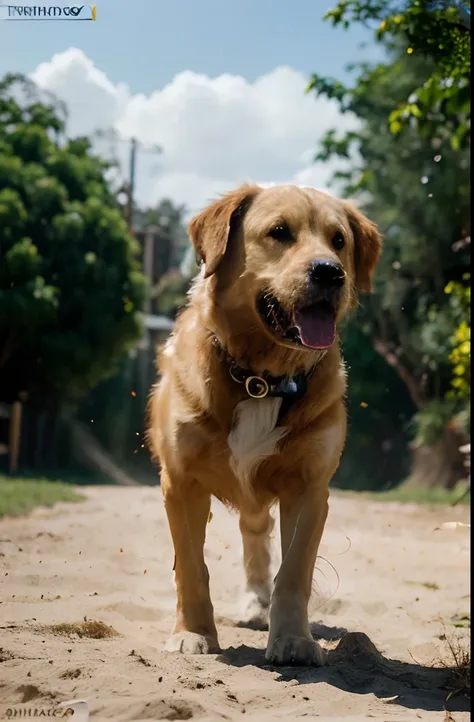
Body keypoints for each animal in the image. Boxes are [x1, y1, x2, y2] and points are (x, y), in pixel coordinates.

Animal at [148, 181, 382, 664]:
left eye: (339, 240)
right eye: (279, 232)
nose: (330, 273)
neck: (261, 379)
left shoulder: (310, 487)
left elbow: (293, 571)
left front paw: (293, 639)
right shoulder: (180, 482)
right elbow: (191, 566)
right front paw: (193, 633)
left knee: (256, 534)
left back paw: (259, 605)